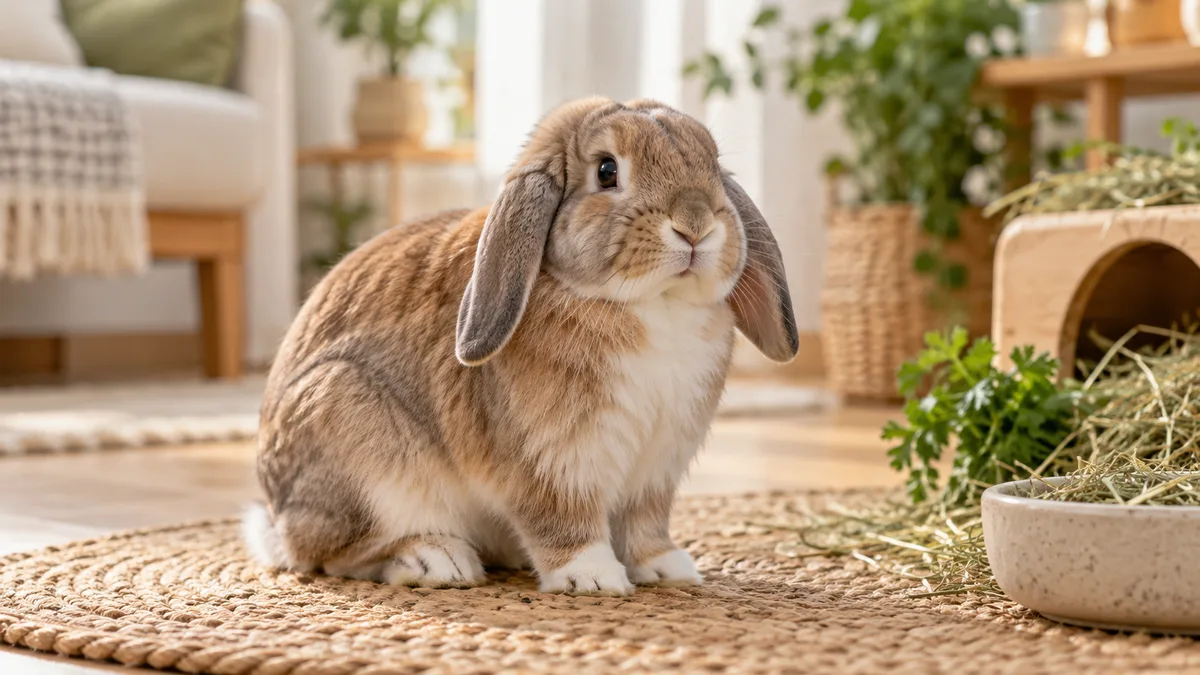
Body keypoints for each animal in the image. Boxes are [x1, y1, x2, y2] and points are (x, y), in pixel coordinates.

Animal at [243, 96, 798, 596]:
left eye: (712, 165)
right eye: (606, 171)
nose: (696, 226)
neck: (650, 303)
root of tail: (276, 515)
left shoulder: (655, 471)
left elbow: (645, 526)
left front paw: (667, 568)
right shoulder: (551, 461)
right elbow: (561, 517)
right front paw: (592, 577)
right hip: (359, 450)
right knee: (334, 555)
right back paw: (436, 559)